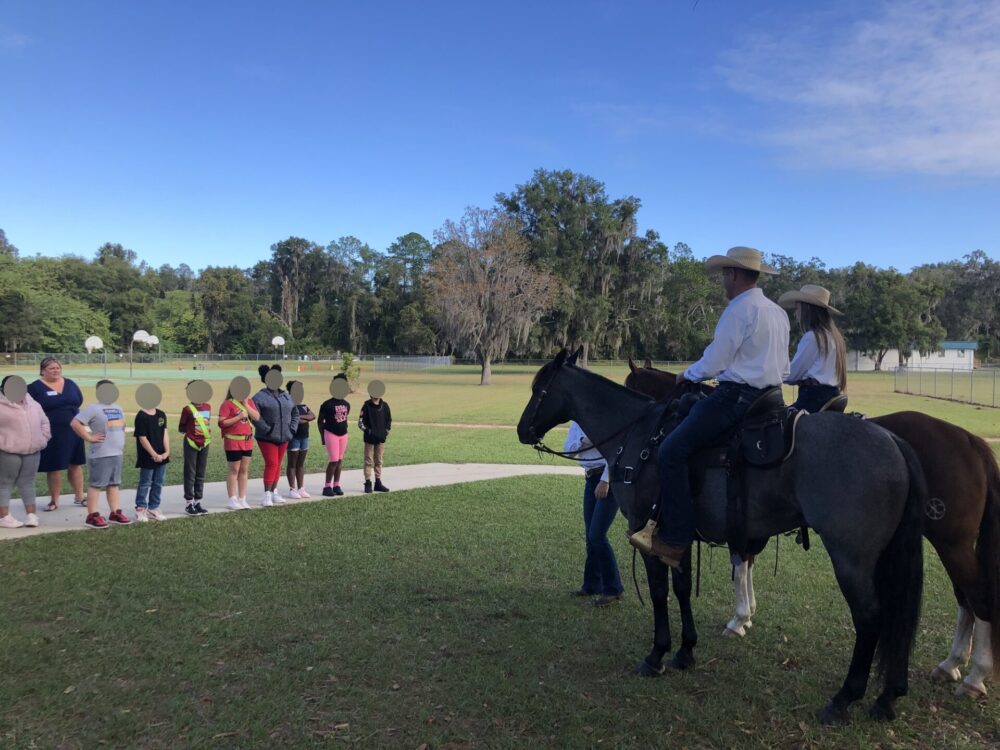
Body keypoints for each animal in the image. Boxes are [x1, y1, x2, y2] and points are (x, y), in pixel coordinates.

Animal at [520, 350, 924, 724]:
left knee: (870, 618)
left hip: (851, 559)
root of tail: (893, 440)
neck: (641, 435)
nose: (522, 430)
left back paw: (844, 699)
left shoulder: (646, 532)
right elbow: (683, 589)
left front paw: (657, 655)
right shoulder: (676, 535)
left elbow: (659, 592)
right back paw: (887, 696)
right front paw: (686, 651)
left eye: (538, 388)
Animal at [624, 358, 1000, 700]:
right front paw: (745, 616)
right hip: (949, 543)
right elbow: (744, 564)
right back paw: (952, 664)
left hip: (951, 542)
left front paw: (739, 618)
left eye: (631, 385)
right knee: (965, 597)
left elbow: (738, 565)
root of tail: (971, 442)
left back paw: (974, 675)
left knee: (977, 596)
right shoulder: (748, 525)